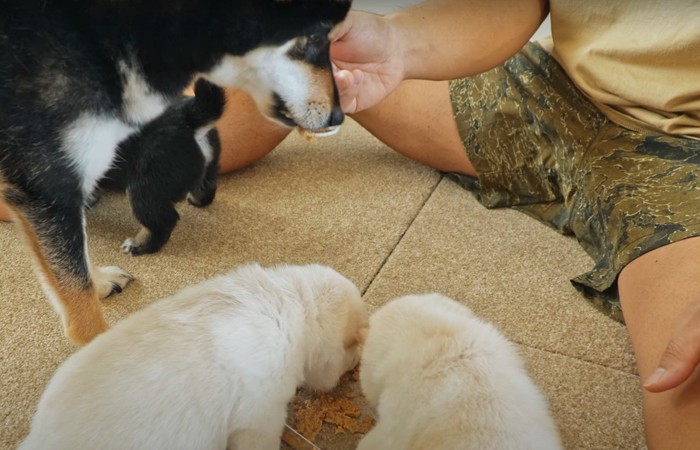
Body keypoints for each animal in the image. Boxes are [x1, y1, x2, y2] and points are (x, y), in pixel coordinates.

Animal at [0, 0, 350, 344]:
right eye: (316, 37)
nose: (338, 115)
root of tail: (191, 117)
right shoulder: (48, 197)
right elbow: (71, 272)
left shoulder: (47, 195)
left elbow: (77, 294)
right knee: (206, 190)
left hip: (142, 190)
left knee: (165, 220)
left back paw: (141, 244)